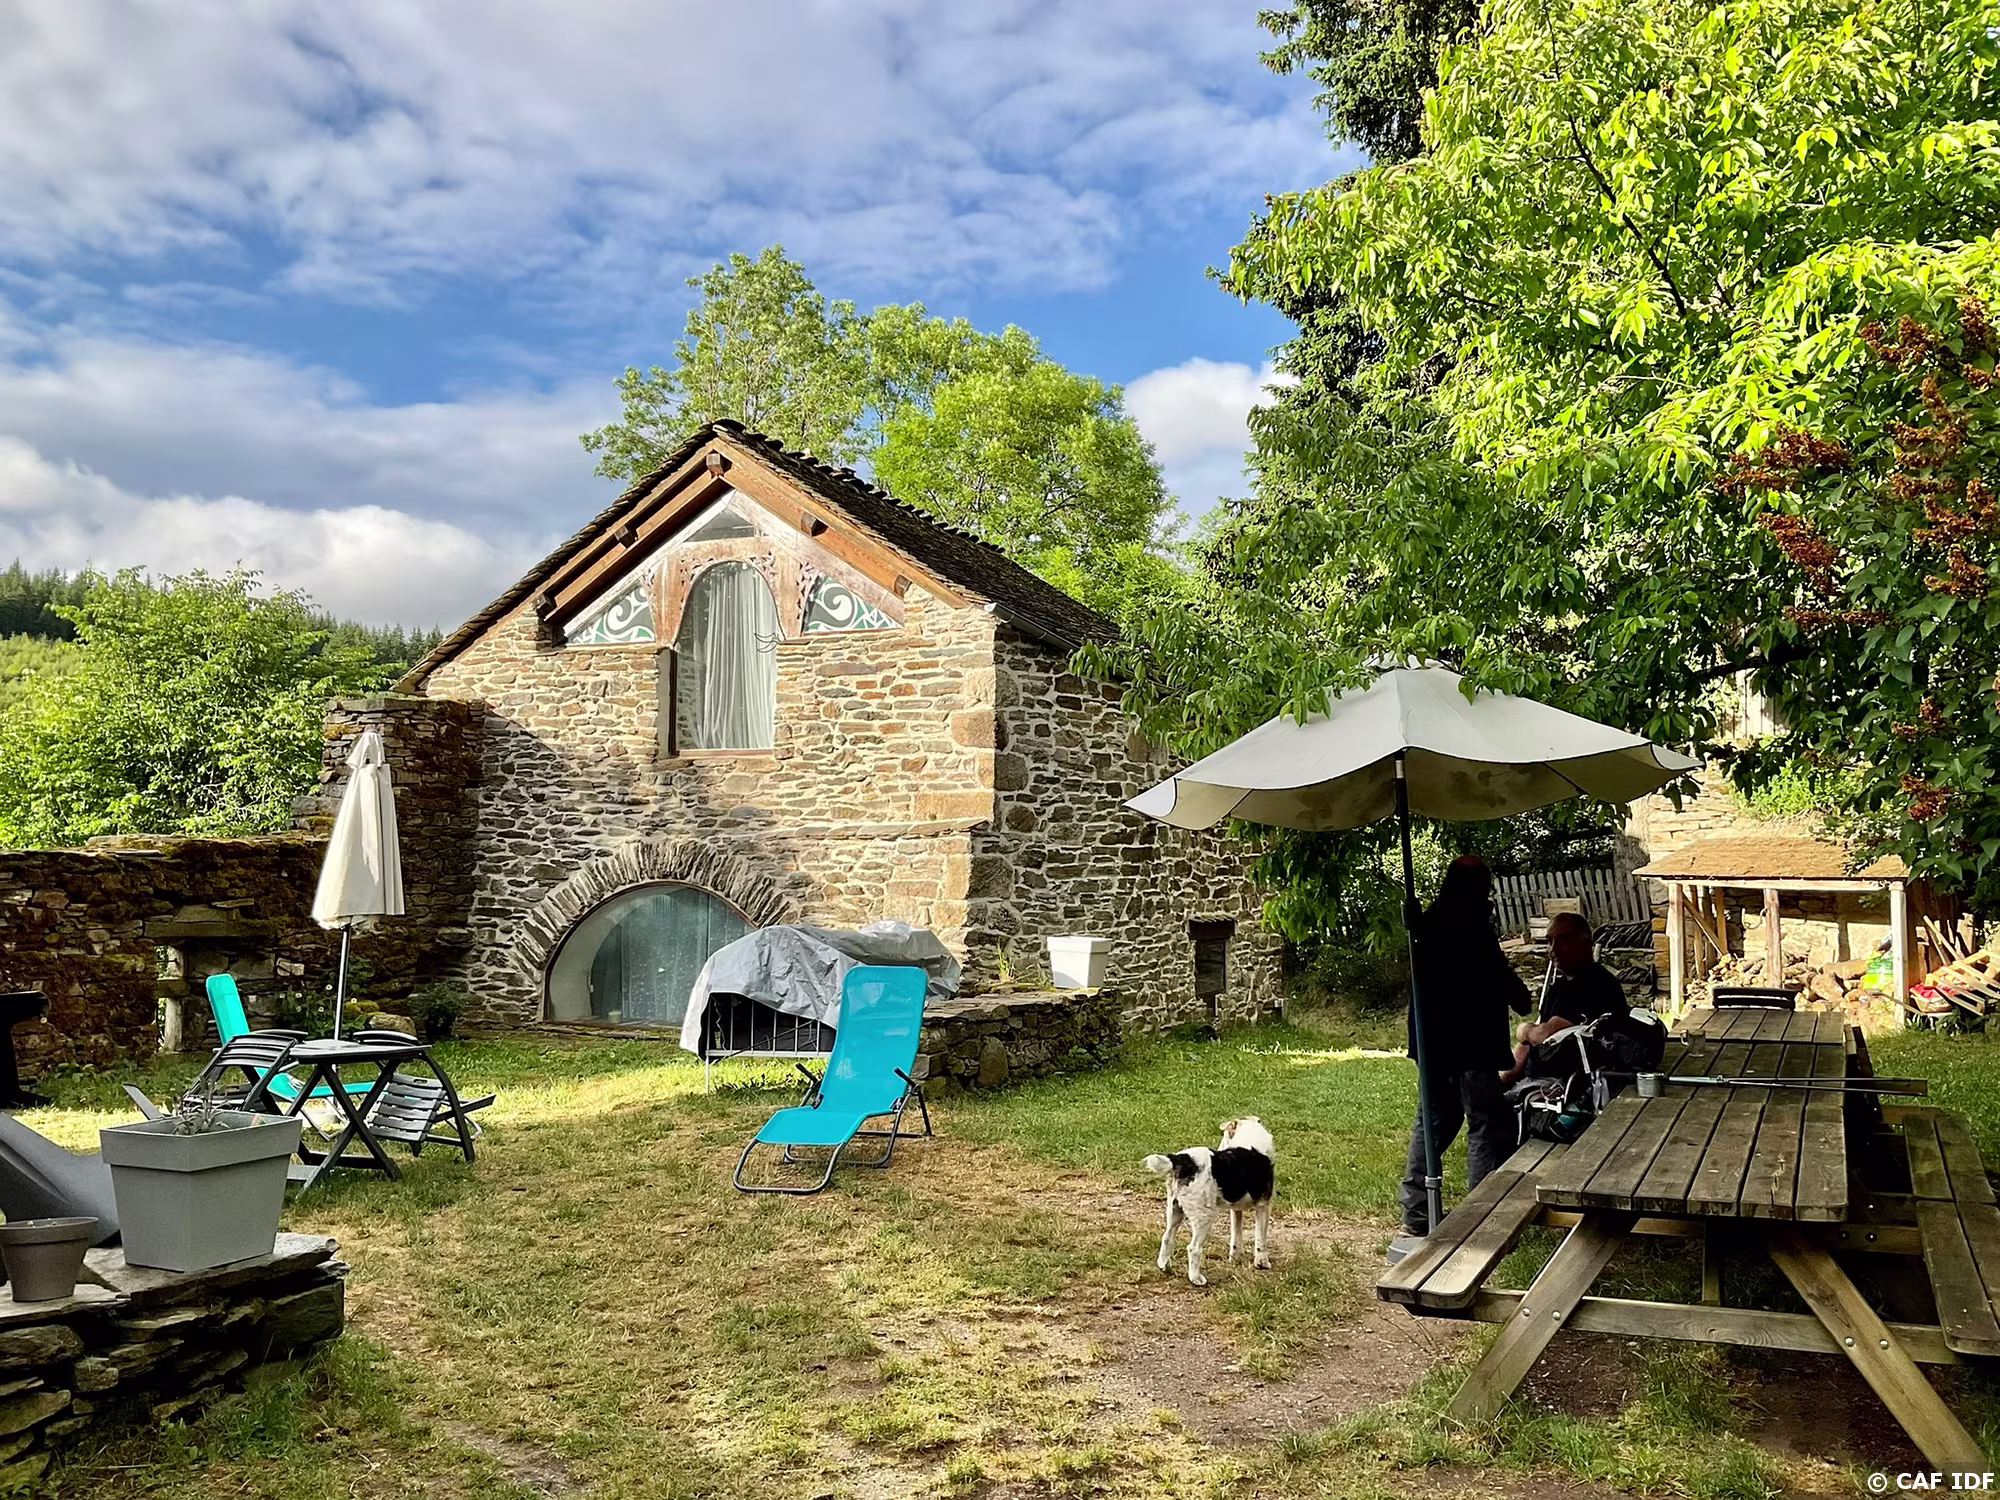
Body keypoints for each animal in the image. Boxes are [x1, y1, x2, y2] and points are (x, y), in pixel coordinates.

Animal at [1143, 1116, 1275, 1286]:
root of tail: (1181, 1160)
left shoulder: (1235, 1208)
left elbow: (1236, 1234)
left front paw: (1235, 1258)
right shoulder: (1263, 1205)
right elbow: (1260, 1239)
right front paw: (1262, 1263)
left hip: (1174, 1209)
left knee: (1167, 1237)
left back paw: (1165, 1266)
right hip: (1204, 1216)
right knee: (1193, 1248)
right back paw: (1196, 1279)